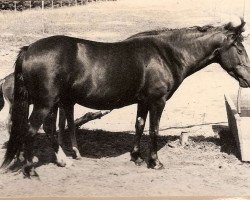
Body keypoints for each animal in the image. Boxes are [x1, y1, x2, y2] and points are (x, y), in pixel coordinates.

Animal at [1, 19, 250, 177]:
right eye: (239, 49)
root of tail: (28, 49)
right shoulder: (157, 101)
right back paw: (31, 170)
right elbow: (153, 130)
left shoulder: (143, 101)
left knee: (49, 129)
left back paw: (63, 161)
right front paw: (155, 162)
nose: (248, 79)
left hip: (52, 103)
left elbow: (139, 125)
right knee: (31, 130)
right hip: (44, 104)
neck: (165, 54)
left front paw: (137, 157)